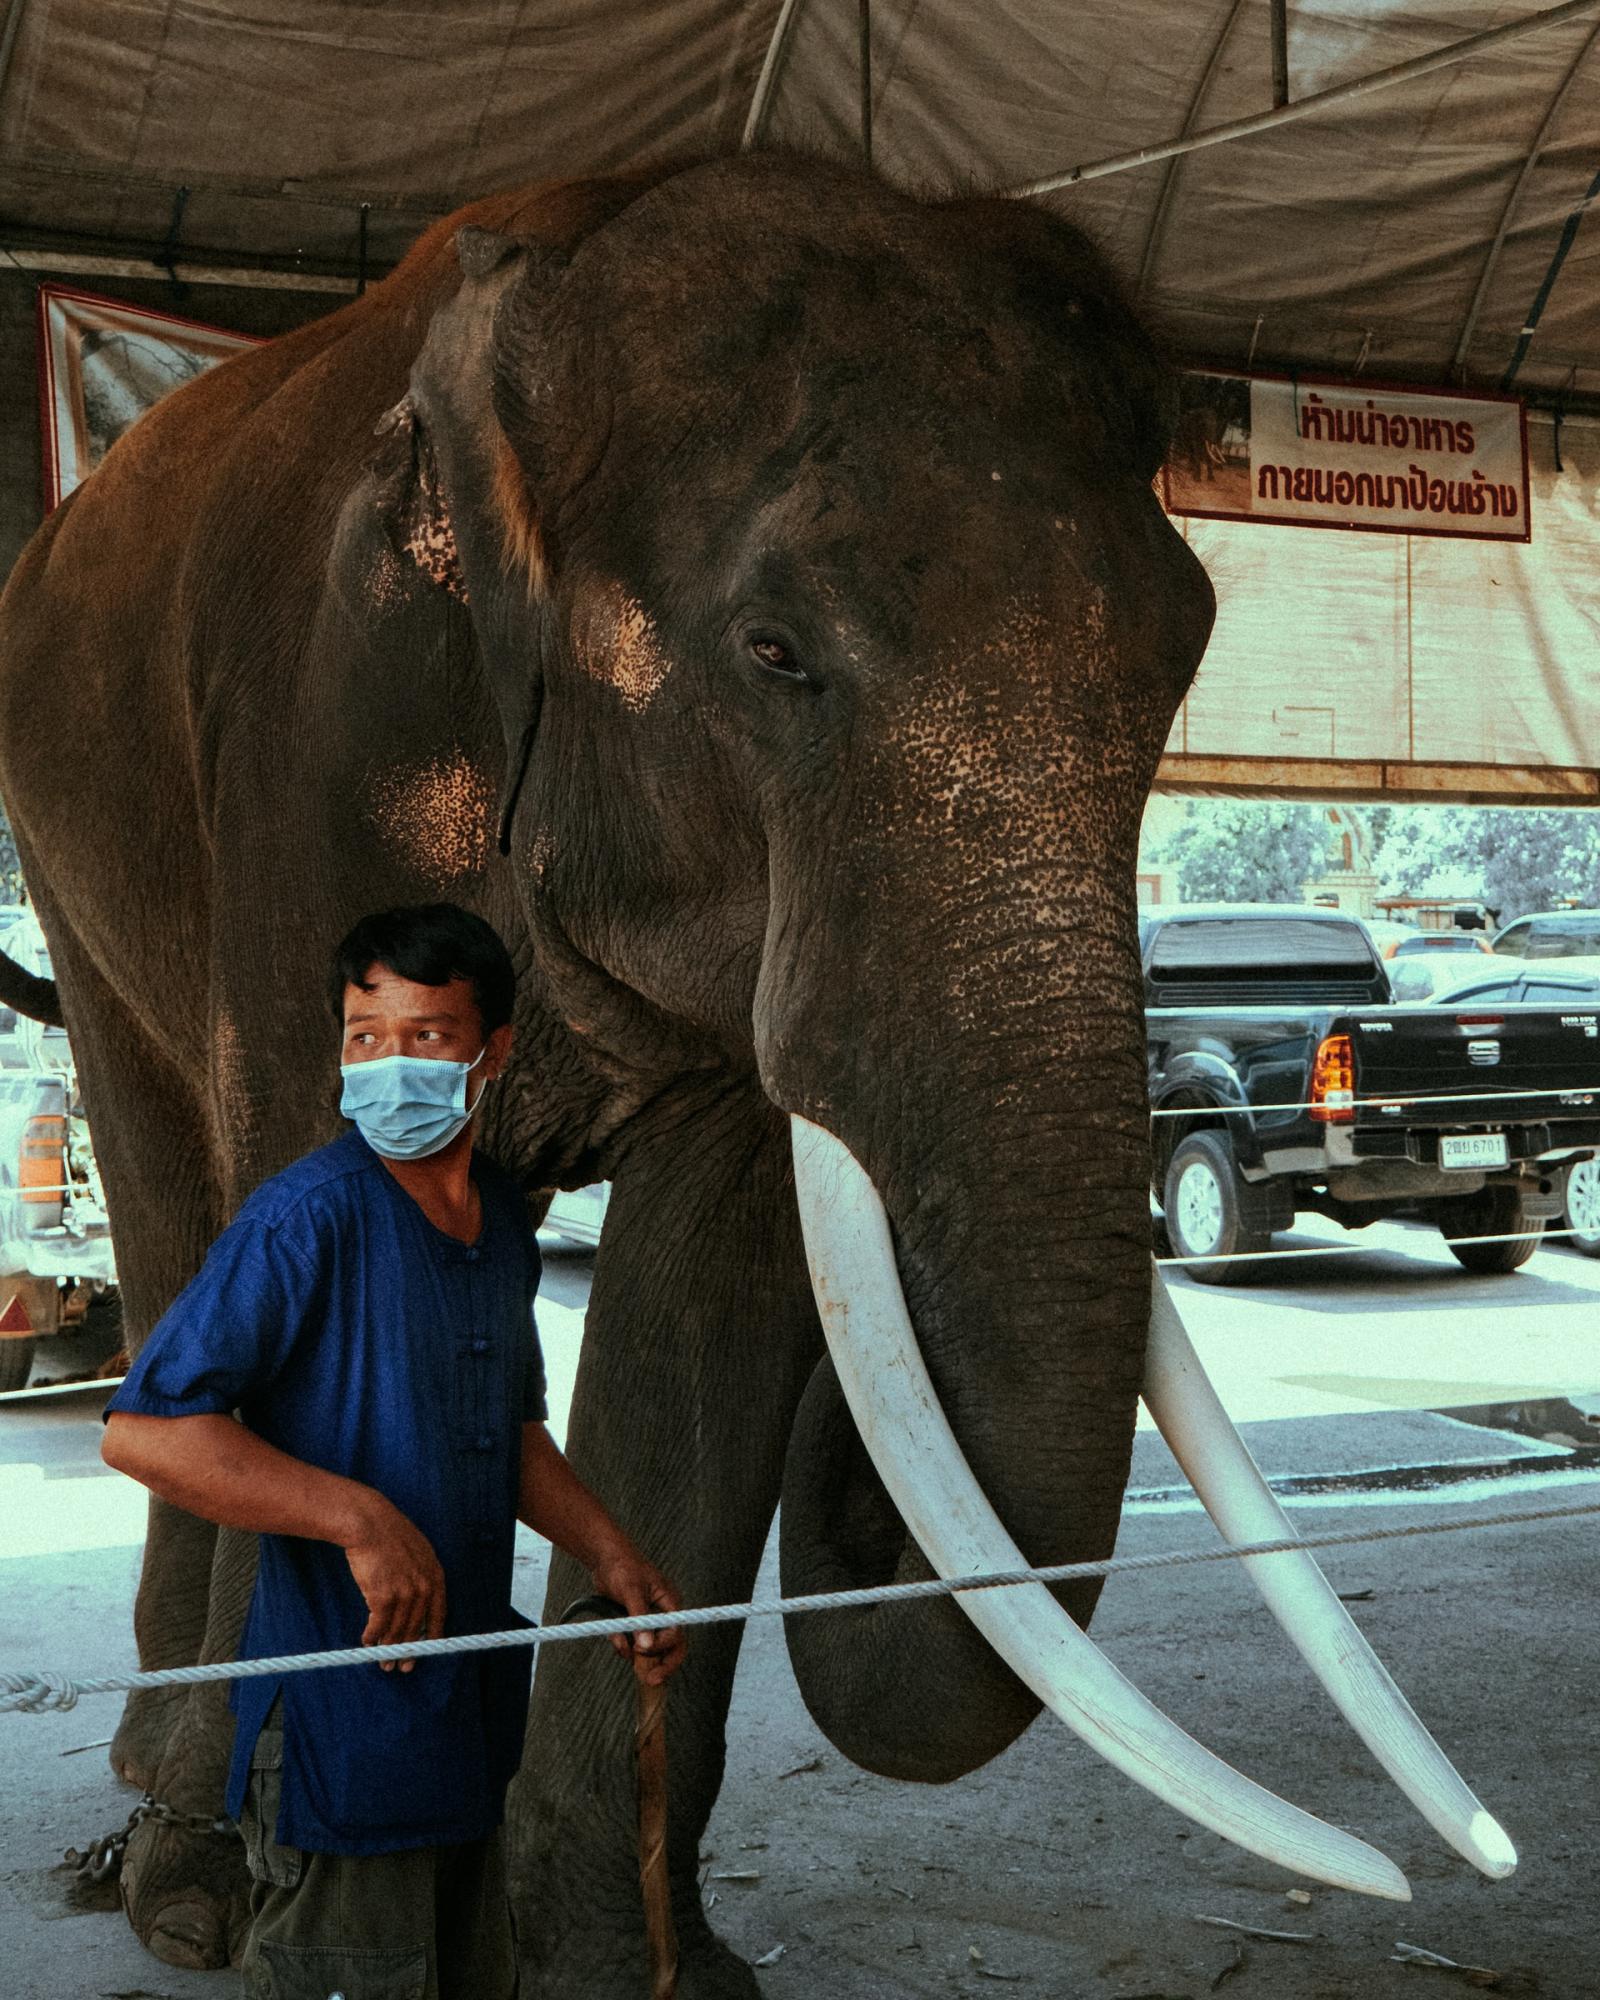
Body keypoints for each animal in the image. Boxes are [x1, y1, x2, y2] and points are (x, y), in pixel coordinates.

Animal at [0, 160, 1512, 2000]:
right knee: (172, 1217)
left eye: (1184, 661)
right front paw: (303, 1925)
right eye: (777, 651)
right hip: (76, 842)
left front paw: (616, 1972)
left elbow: (711, 1295)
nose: (852, 1478)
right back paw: (180, 1877)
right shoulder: (322, 758)